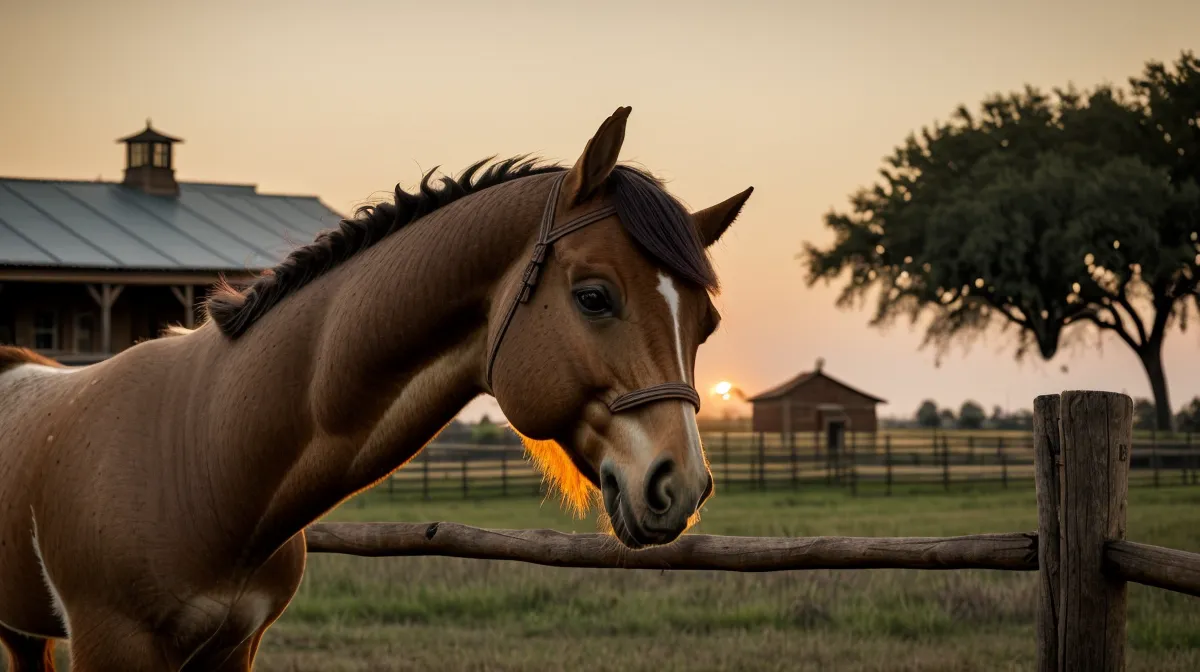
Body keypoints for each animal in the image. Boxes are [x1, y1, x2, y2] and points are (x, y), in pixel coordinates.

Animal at [0, 106, 753, 671]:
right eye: (594, 297)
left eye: (707, 324)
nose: (681, 484)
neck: (206, 452)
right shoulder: (113, 647)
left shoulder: (233, 648)